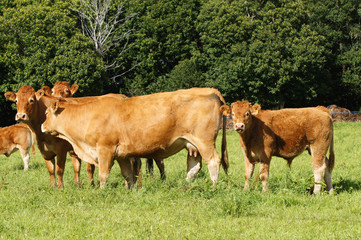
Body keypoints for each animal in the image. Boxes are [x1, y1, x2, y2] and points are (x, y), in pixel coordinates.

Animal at [40, 87, 226, 188]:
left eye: (46, 113)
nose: (42, 126)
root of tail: (211, 91)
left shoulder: (105, 149)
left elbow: (103, 175)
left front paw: (102, 191)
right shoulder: (122, 155)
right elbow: (128, 175)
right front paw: (132, 191)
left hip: (204, 142)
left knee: (214, 161)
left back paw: (214, 185)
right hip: (191, 145)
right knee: (194, 167)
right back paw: (185, 185)